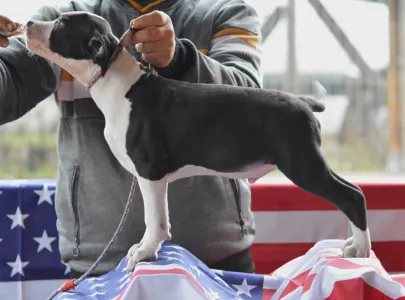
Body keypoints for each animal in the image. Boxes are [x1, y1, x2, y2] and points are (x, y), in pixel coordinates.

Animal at [25, 11, 370, 272]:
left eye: (60, 24)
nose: (27, 23)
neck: (118, 83)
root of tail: (303, 102)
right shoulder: (157, 178)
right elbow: (161, 217)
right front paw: (150, 247)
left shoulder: (149, 172)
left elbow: (153, 218)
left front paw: (145, 251)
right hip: (307, 160)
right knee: (351, 191)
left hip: (301, 162)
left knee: (351, 196)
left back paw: (360, 249)